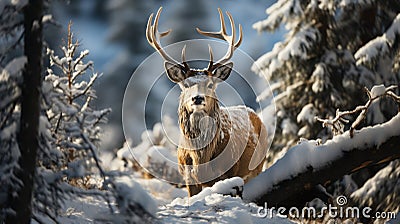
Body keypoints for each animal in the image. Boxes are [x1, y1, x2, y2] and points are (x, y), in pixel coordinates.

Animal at [145, 7, 268, 196]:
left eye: (210, 84)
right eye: (186, 84)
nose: (197, 98)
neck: (200, 159)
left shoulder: (227, 173)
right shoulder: (187, 176)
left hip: (257, 166)